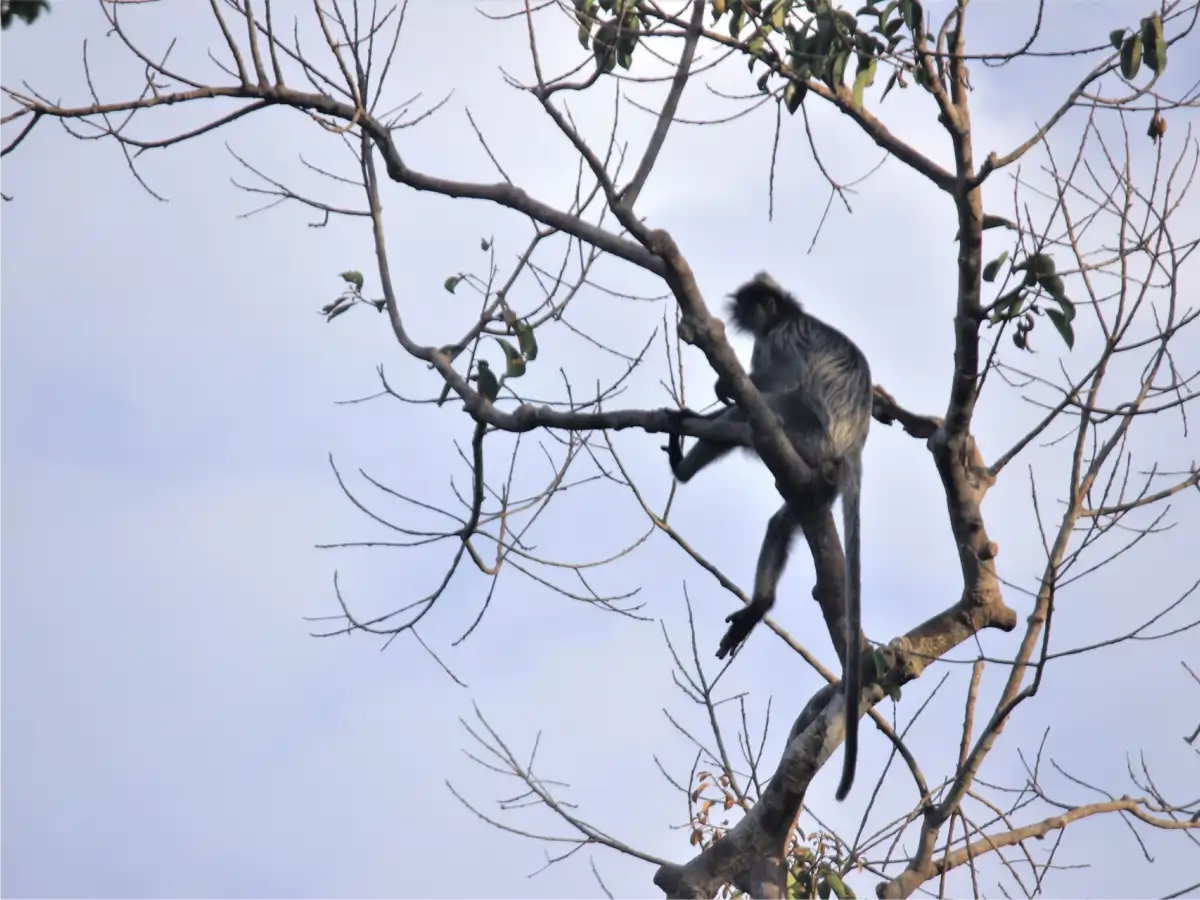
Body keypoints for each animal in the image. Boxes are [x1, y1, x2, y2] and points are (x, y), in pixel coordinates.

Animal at [664, 272, 872, 802]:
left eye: (758, 302)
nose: (745, 308)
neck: (787, 317)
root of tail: (853, 448)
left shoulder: (777, 340)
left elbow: (777, 381)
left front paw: (723, 387)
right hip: (814, 481)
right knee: (782, 521)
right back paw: (759, 605)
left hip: (807, 435)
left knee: (766, 413)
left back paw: (702, 433)